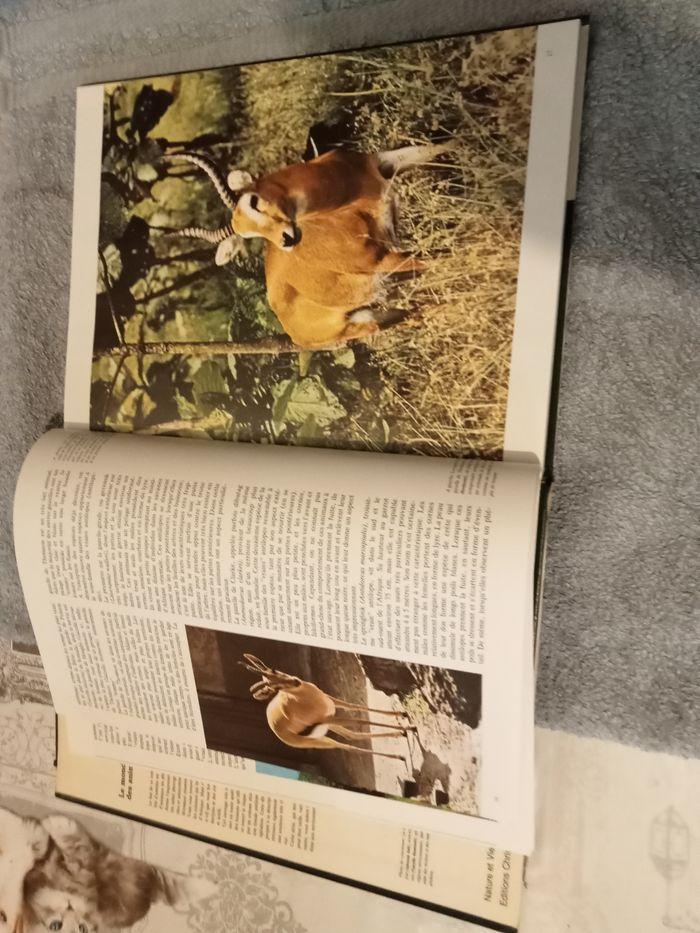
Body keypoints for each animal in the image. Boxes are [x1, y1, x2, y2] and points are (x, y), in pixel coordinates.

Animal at [169, 142, 454, 350]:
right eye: (248, 234)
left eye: (253, 201)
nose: (286, 239)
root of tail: (290, 330)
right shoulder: (381, 258)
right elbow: (440, 260)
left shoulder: (387, 162)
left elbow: (440, 146)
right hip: (363, 321)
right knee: (411, 315)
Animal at [241, 652, 416, 760]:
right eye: (273, 687)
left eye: (274, 670)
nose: (295, 682)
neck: (303, 699)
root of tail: (273, 724)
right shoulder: (330, 718)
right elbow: (361, 721)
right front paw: (408, 728)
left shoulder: (331, 702)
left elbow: (355, 707)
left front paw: (403, 716)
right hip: (321, 740)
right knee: (348, 746)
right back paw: (399, 752)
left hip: (329, 724)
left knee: (351, 736)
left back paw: (399, 750)